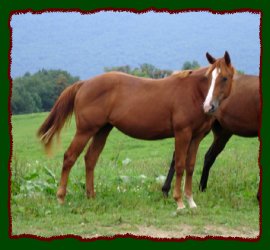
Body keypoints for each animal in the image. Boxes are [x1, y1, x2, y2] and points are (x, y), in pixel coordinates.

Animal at [37, 51, 234, 210]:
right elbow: (179, 165)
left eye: (224, 78)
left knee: (90, 159)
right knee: (69, 157)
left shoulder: (196, 137)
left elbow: (190, 166)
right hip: (85, 131)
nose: (209, 106)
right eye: (209, 78)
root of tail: (84, 83)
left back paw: (91, 196)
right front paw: (179, 202)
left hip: (102, 130)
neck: (193, 92)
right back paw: (61, 198)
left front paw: (191, 202)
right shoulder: (182, 134)